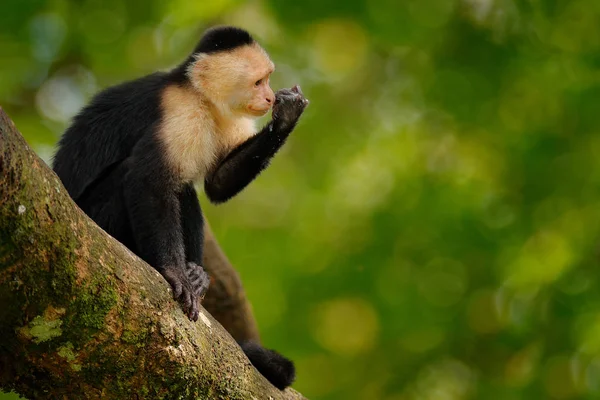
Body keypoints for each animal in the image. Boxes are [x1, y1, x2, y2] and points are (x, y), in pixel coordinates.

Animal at [51, 25, 308, 390]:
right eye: (260, 82)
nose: (270, 98)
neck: (200, 97)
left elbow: (217, 183)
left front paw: (287, 116)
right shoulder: (178, 111)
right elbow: (148, 180)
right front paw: (173, 272)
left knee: (184, 190)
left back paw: (196, 274)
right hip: (96, 217)